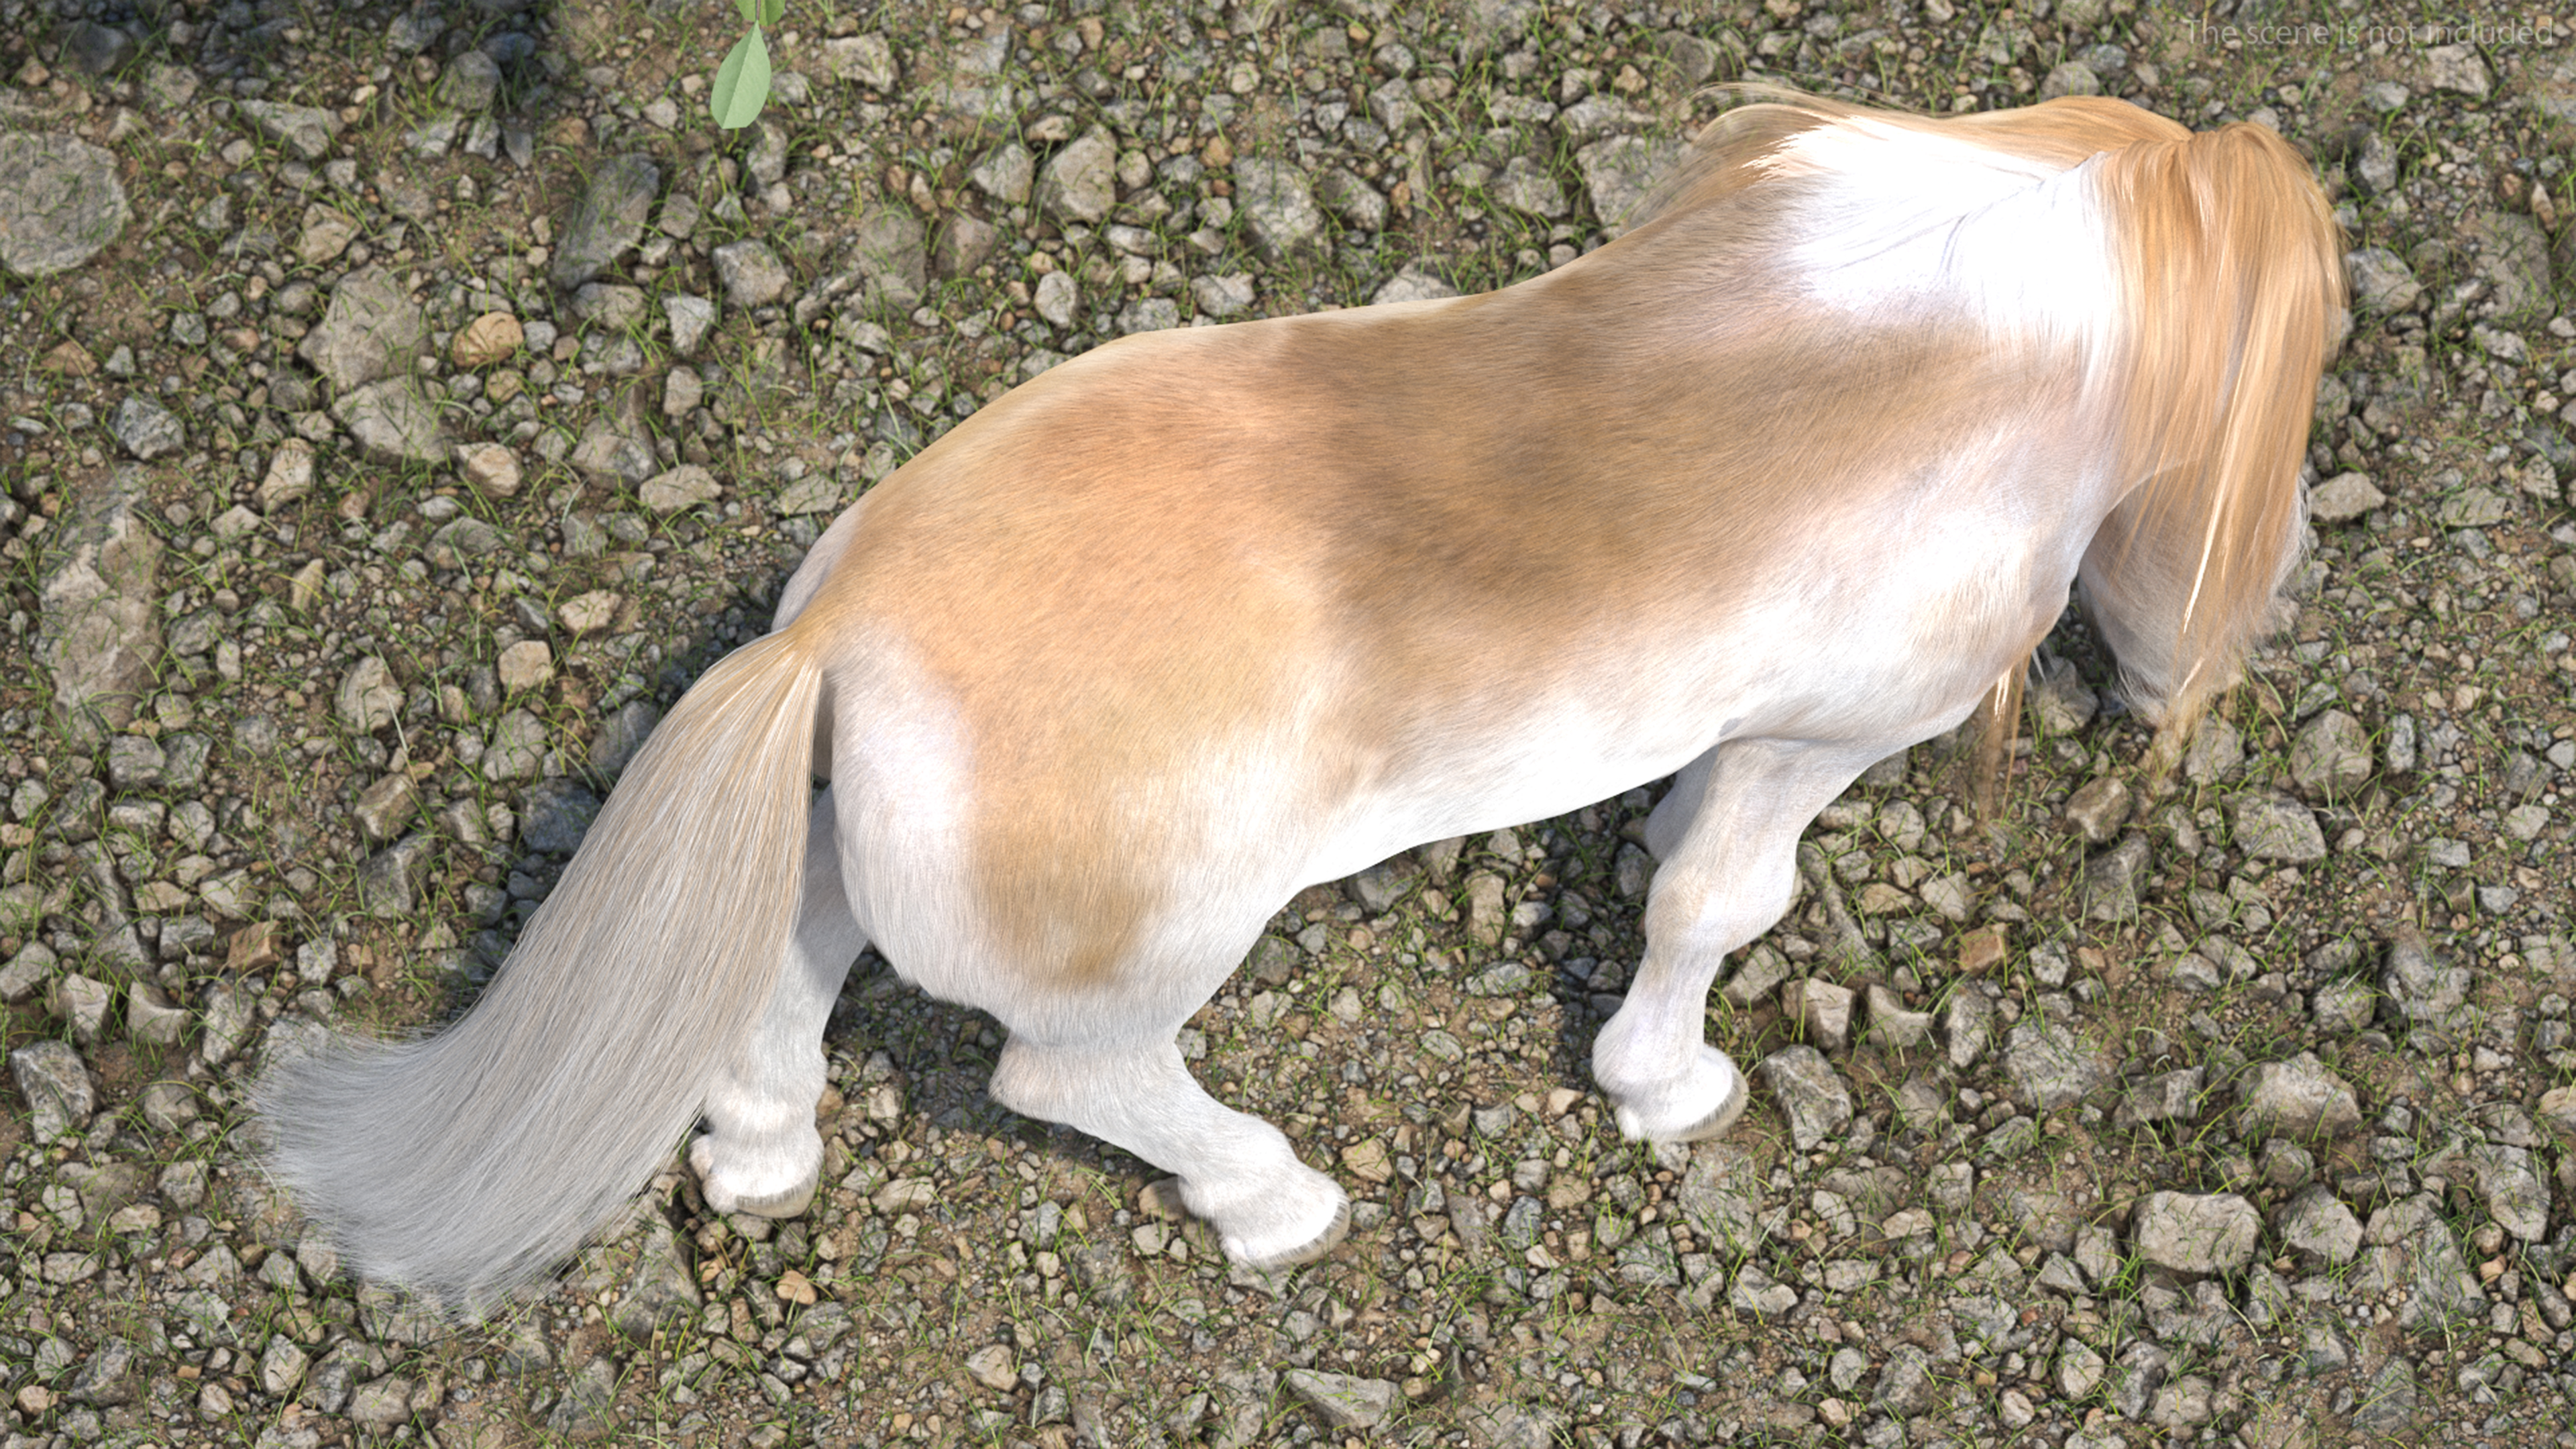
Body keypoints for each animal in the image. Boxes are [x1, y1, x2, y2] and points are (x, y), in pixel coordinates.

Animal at [251, 96, 2349, 1289]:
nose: (2221, 633)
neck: (1934, 341)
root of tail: (842, 624)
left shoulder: (1747, 732)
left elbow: (1674, 838)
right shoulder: (1813, 736)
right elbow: (1711, 900)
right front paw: (1664, 1088)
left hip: (865, 840)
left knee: (792, 956)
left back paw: (763, 1153)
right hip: (1148, 949)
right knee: (1065, 1074)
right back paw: (1274, 1205)